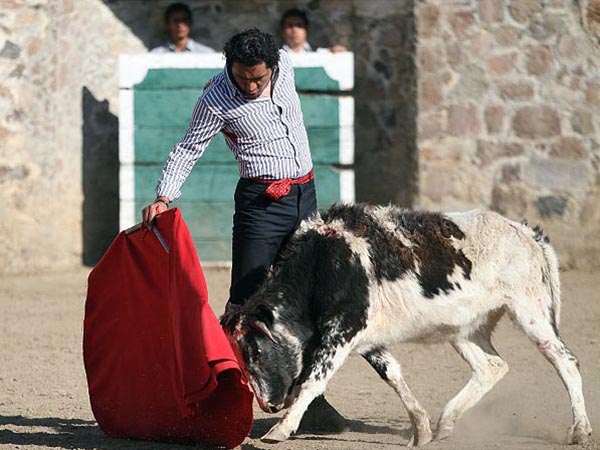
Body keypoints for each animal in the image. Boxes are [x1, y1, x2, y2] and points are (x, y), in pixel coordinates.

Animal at [221, 204, 592, 446]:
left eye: (255, 351)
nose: (270, 405)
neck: (325, 264)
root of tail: (527, 233)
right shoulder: (365, 338)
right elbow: (393, 374)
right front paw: (421, 428)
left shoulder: (344, 328)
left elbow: (313, 380)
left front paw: (280, 429)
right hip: (467, 329)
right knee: (492, 366)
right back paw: (445, 424)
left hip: (531, 312)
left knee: (565, 361)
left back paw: (580, 430)